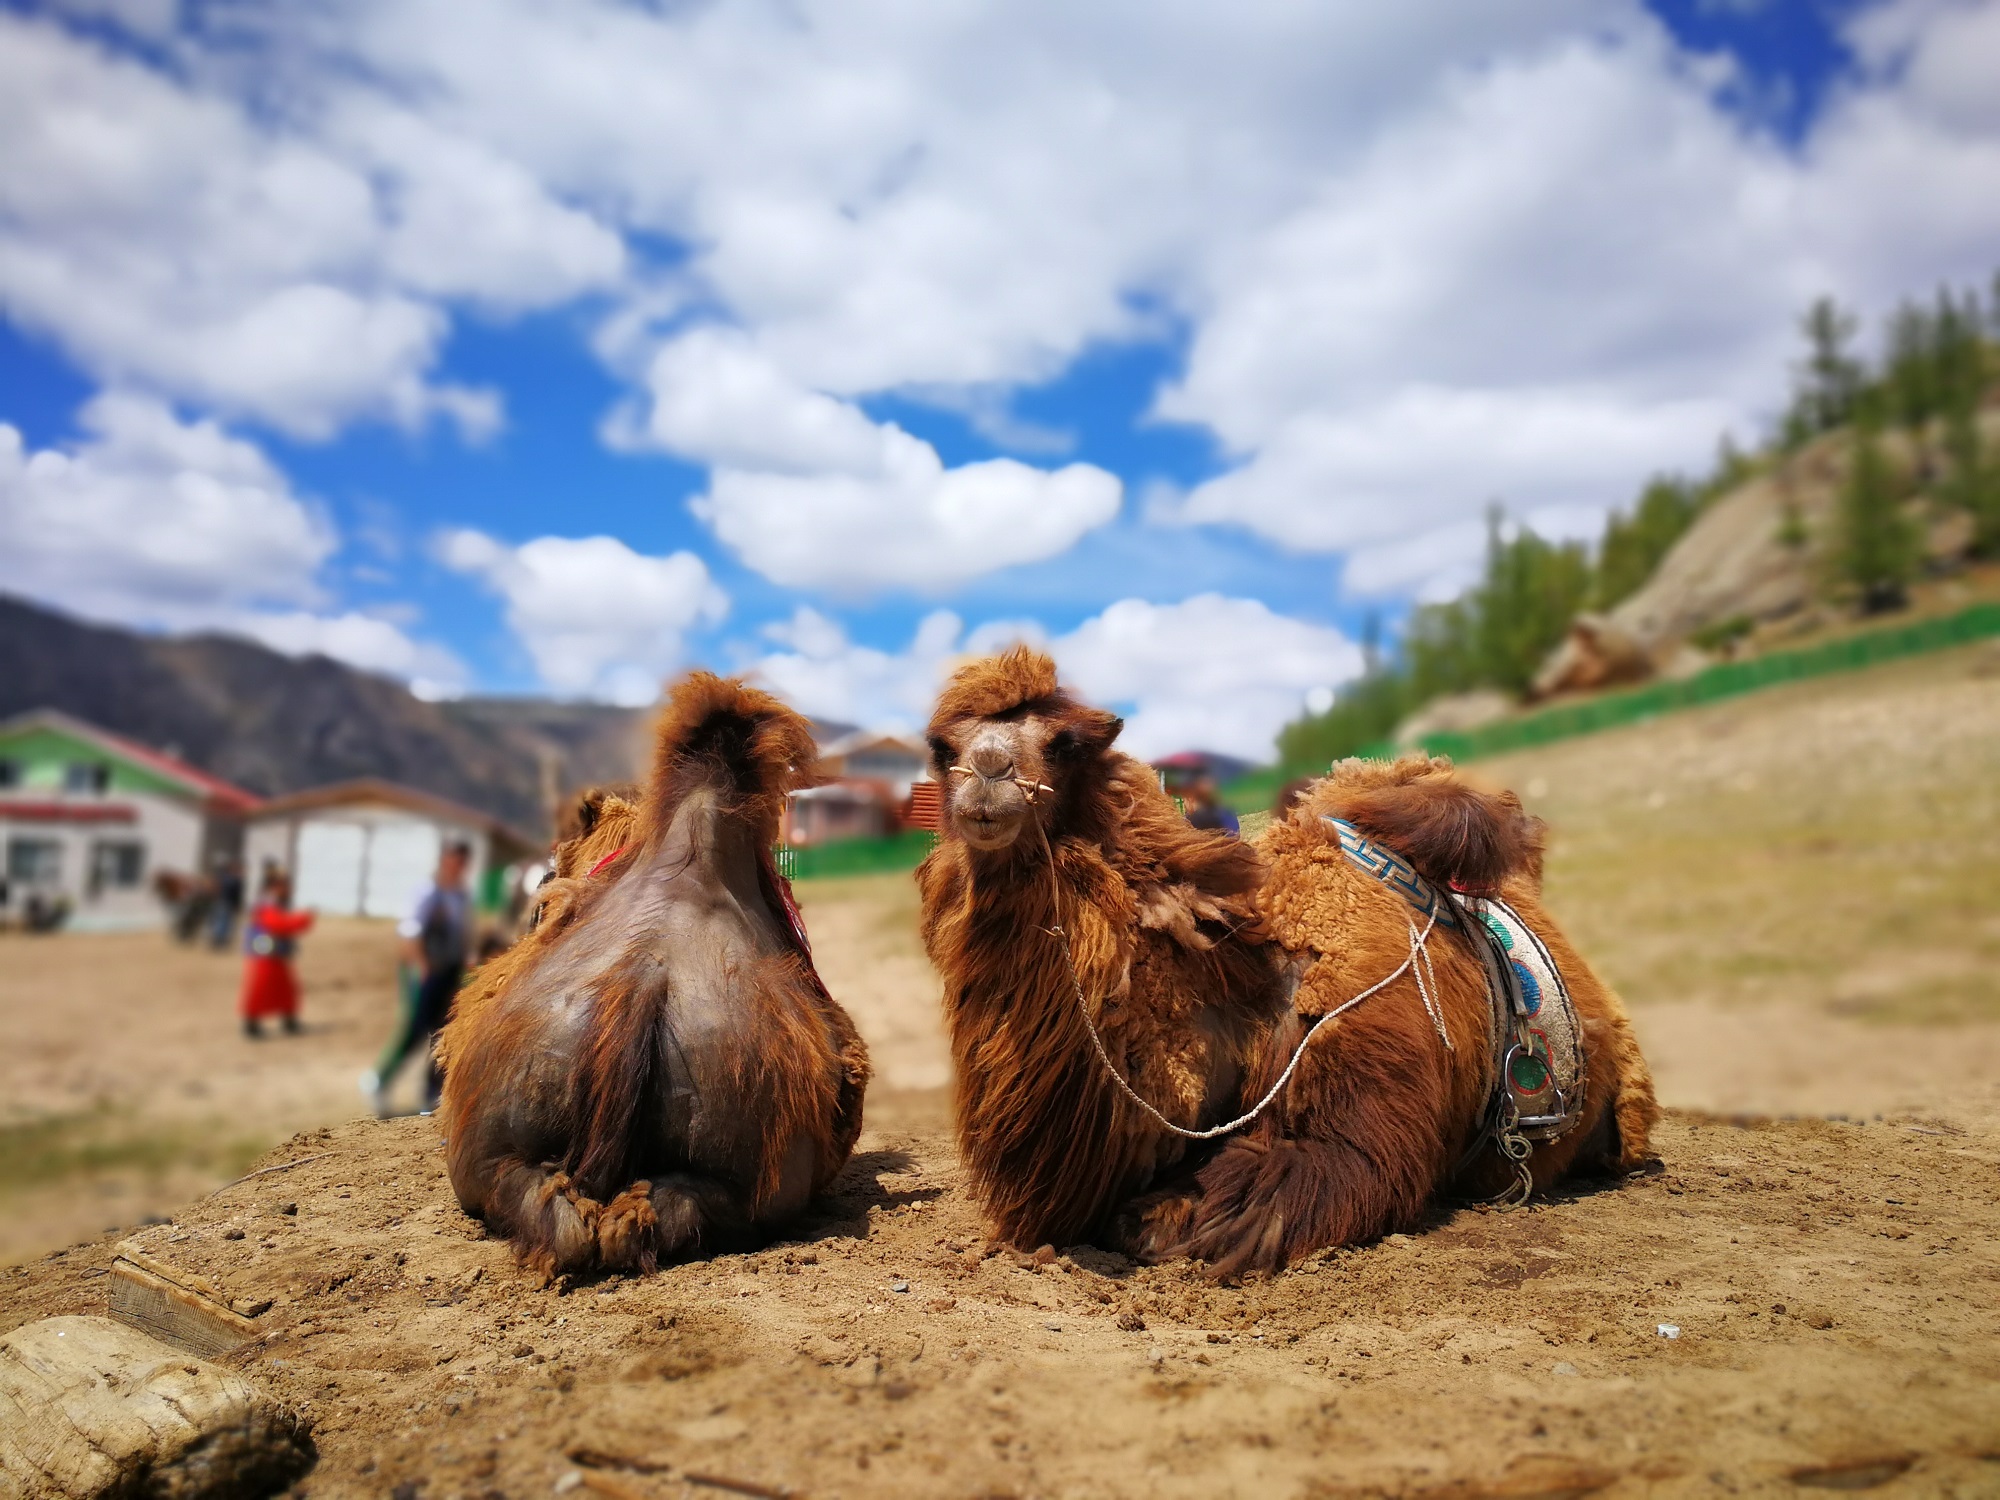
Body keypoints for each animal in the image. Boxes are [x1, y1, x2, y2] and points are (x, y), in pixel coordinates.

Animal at [916, 648, 1656, 1280]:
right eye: (942, 749)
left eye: (1065, 744)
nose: (987, 779)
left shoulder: (1359, 1108)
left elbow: (1213, 1212)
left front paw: (1158, 1217)